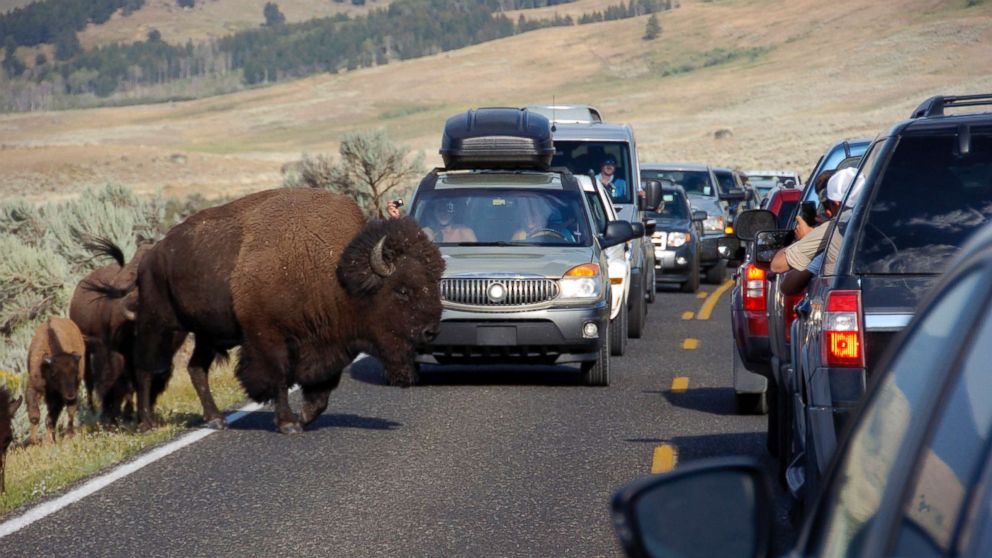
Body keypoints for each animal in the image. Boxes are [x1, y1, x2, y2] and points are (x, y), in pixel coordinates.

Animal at [96, 189, 444, 433]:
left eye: (434, 282)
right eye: (402, 289)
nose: (431, 331)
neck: (335, 273)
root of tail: (151, 254)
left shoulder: (327, 345)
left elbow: (321, 391)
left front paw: (304, 417)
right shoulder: (268, 337)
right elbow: (279, 377)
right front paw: (288, 423)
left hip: (207, 334)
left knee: (196, 369)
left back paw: (215, 419)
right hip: (162, 325)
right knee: (145, 368)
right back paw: (147, 423)